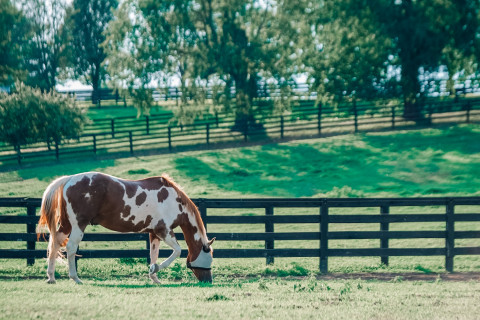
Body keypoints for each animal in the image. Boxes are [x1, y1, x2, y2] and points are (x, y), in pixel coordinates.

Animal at [37, 171, 216, 284]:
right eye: (209, 258)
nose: (208, 281)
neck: (173, 201)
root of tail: (69, 179)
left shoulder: (154, 234)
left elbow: (153, 254)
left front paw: (154, 275)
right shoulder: (163, 231)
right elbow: (177, 251)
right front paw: (156, 269)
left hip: (66, 225)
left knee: (54, 244)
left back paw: (51, 277)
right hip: (78, 225)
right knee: (71, 248)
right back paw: (75, 278)